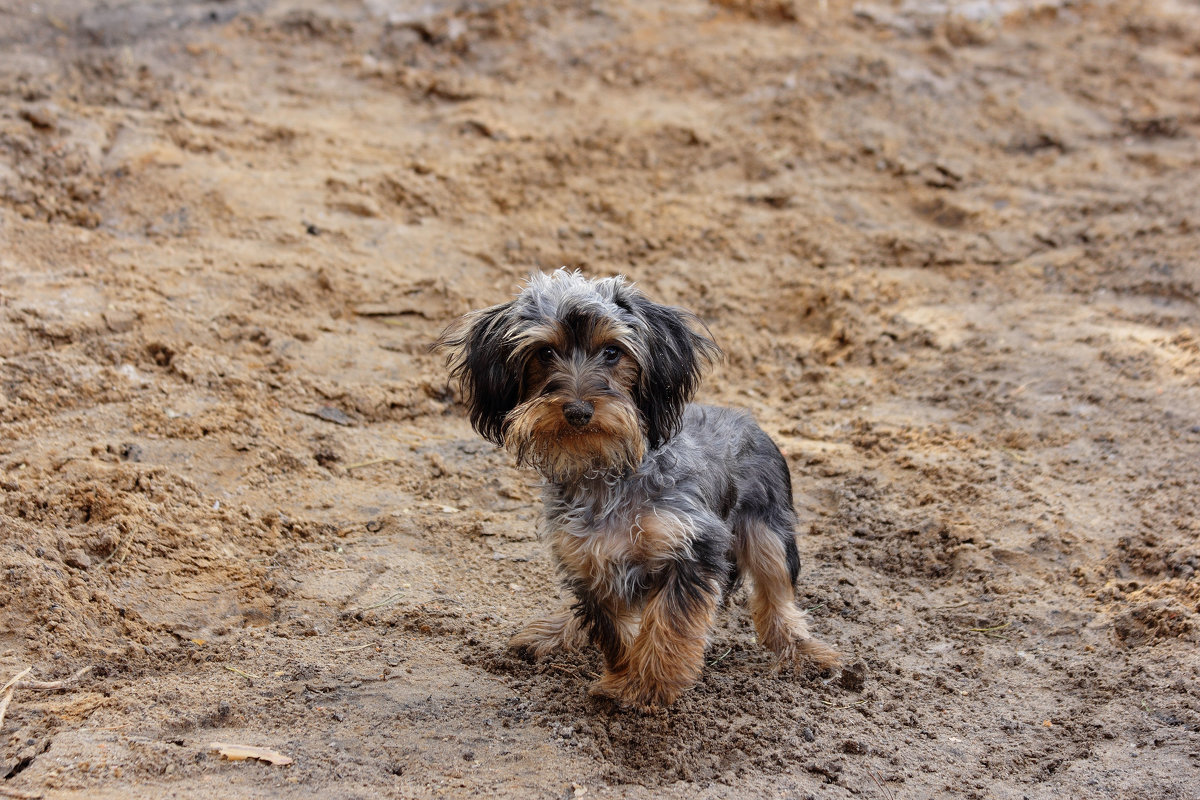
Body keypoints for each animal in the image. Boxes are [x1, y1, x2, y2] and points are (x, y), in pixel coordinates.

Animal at [436, 268, 840, 705]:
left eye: (613, 352)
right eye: (544, 353)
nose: (577, 411)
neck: (605, 470)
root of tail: (747, 418)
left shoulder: (692, 548)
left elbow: (669, 623)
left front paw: (649, 685)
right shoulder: (589, 561)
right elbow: (612, 628)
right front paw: (624, 677)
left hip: (768, 532)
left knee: (777, 597)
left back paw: (802, 651)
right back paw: (558, 630)